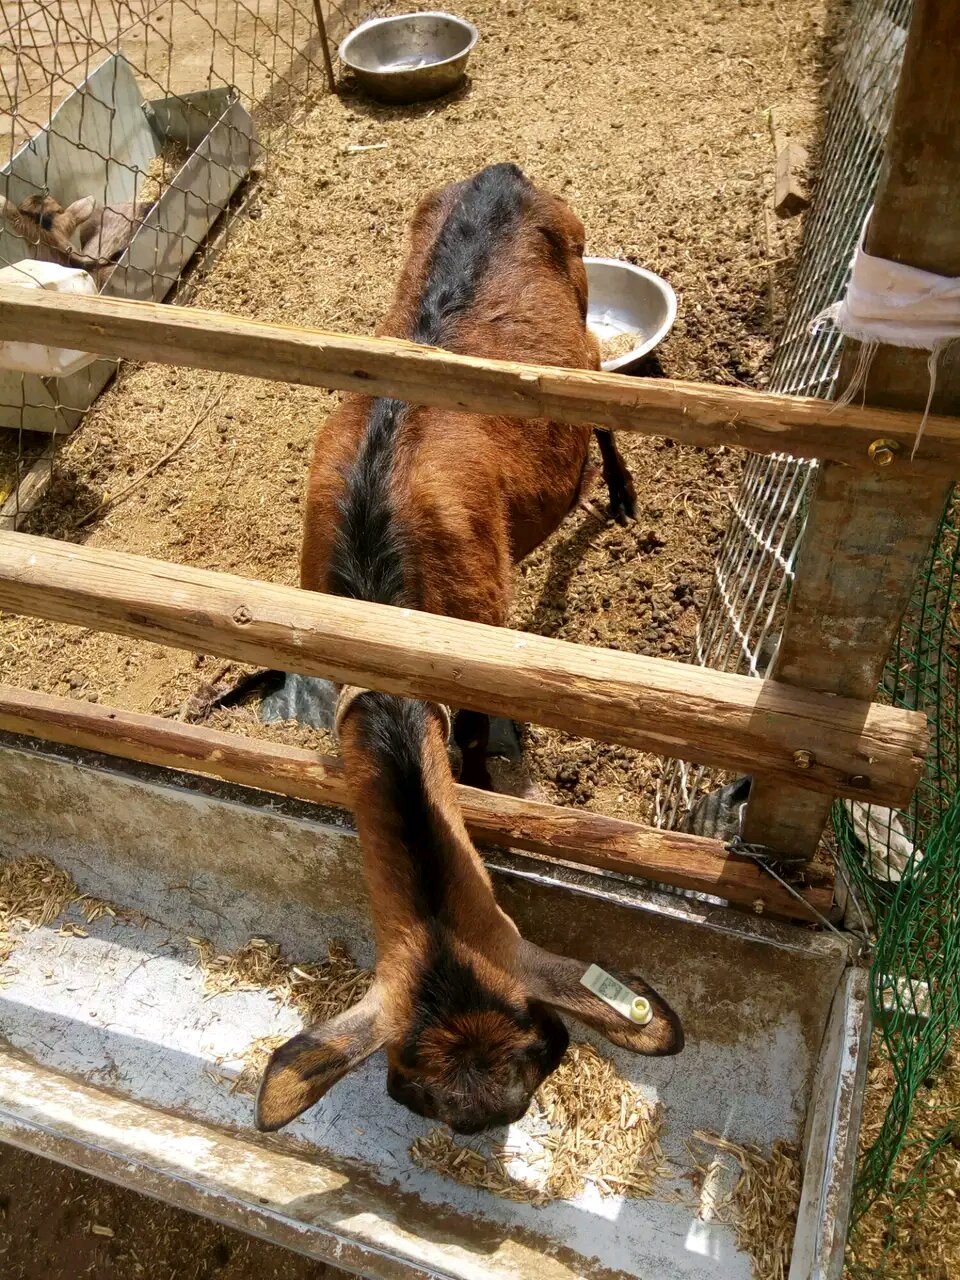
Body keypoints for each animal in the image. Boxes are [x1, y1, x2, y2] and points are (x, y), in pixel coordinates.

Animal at [256, 164, 682, 1138]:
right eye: (428, 1103)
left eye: (541, 1067)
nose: (486, 1119)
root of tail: (502, 174)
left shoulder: (483, 627)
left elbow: (480, 745)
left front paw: (489, 782)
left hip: (581, 304)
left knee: (601, 396)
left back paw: (624, 495)